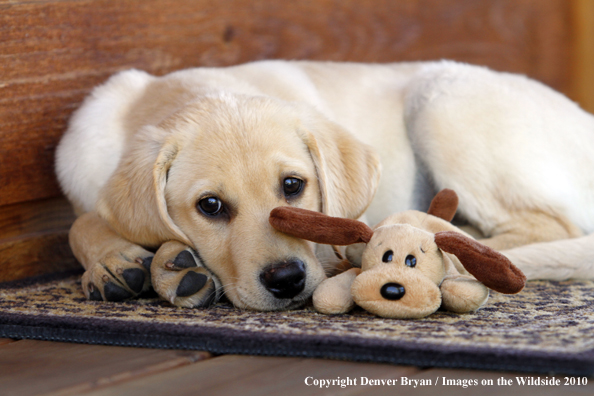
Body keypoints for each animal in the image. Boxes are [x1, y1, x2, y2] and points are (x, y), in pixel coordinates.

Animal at [54, 60, 592, 310]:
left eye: (294, 185)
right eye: (210, 206)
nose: (287, 280)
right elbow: (79, 221)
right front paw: (116, 260)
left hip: (442, 99)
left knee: (544, 227)